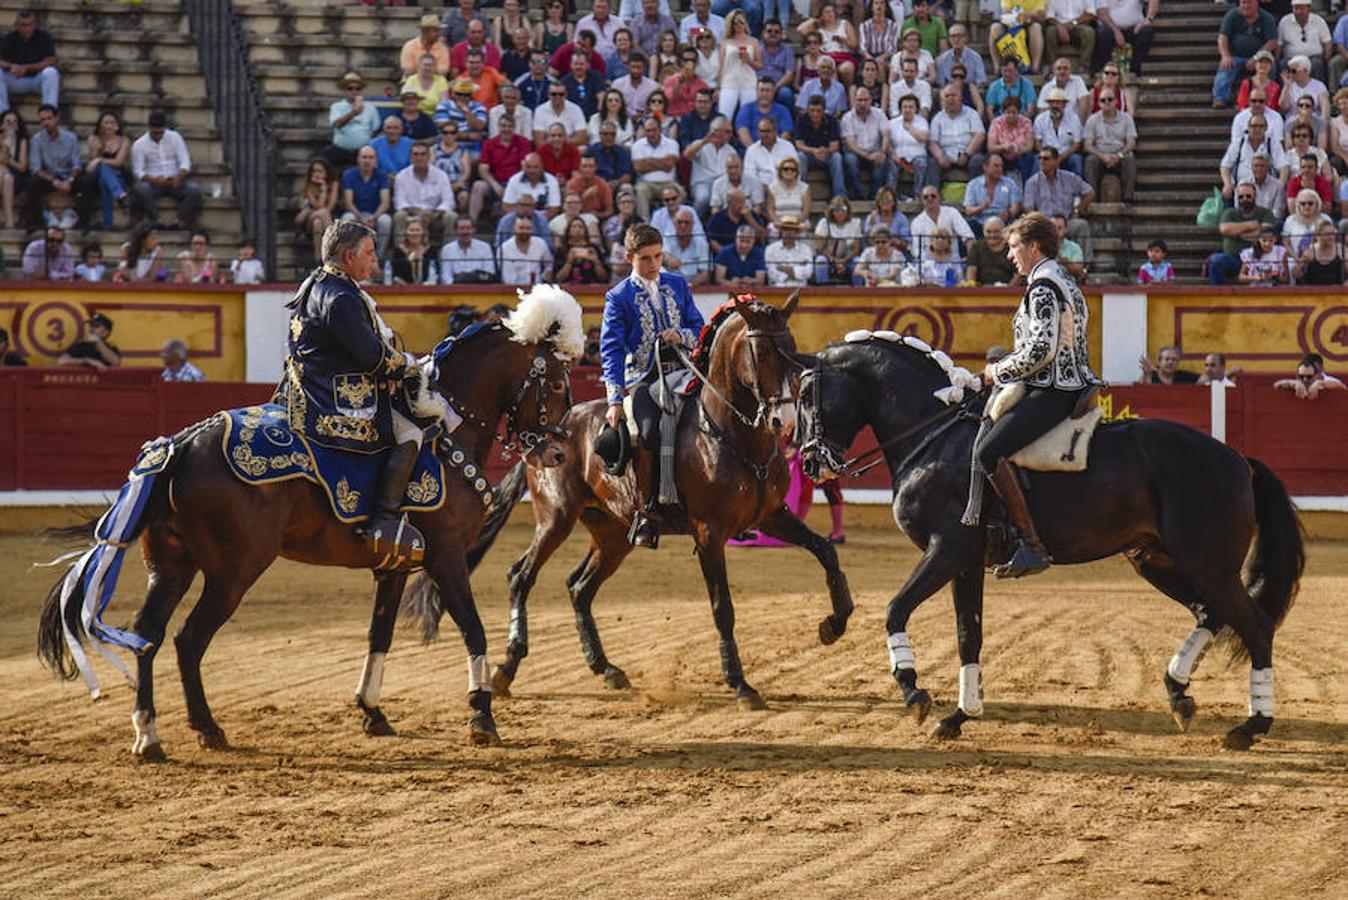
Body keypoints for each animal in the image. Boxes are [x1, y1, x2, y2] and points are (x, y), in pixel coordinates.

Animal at [36, 288, 582, 759]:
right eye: (556, 383)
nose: (557, 453)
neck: (448, 429)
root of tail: (183, 443)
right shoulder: (447, 556)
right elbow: (472, 628)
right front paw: (482, 716)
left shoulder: (394, 566)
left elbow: (379, 634)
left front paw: (372, 712)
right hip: (233, 572)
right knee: (188, 639)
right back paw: (207, 728)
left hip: (170, 565)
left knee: (147, 632)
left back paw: (150, 734)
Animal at [409, 292, 851, 705]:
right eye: (760, 353)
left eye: (792, 350)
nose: (784, 421)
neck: (731, 434)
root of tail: (549, 431)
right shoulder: (709, 533)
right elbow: (722, 607)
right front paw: (740, 683)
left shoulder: (772, 515)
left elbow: (826, 551)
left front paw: (834, 624)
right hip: (556, 517)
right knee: (522, 575)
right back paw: (506, 669)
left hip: (613, 533)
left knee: (579, 586)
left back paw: (605, 667)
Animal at [798, 334, 1304, 749]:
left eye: (804, 398)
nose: (808, 462)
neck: (933, 437)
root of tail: (1237, 458)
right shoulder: (966, 563)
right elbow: (968, 635)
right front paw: (960, 715)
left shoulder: (947, 550)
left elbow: (895, 609)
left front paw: (914, 691)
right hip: (1155, 560)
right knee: (1209, 613)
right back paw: (1179, 695)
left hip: (1207, 563)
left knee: (1255, 624)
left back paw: (1250, 726)